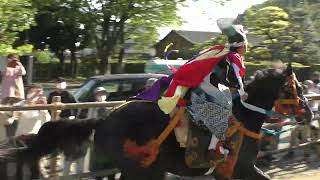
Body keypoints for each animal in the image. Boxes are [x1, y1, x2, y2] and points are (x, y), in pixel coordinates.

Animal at [0, 66, 312, 180]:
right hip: (140, 170)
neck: (243, 118)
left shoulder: (228, 172)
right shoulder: (241, 168)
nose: (308, 114)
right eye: (294, 88)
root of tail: (103, 120)